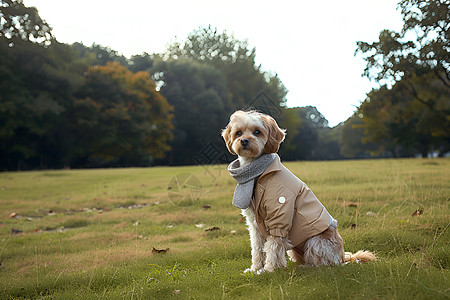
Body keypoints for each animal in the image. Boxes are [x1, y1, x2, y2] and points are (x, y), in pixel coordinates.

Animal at [221, 109, 372, 274]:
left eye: (257, 132)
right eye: (238, 133)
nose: (244, 141)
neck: (258, 173)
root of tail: (342, 258)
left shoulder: (279, 219)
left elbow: (273, 246)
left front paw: (268, 270)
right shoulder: (254, 223)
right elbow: (257, 247)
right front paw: (255, 268)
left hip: (316, 241)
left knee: (322, 264)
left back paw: (306, 267)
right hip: (294, 249)